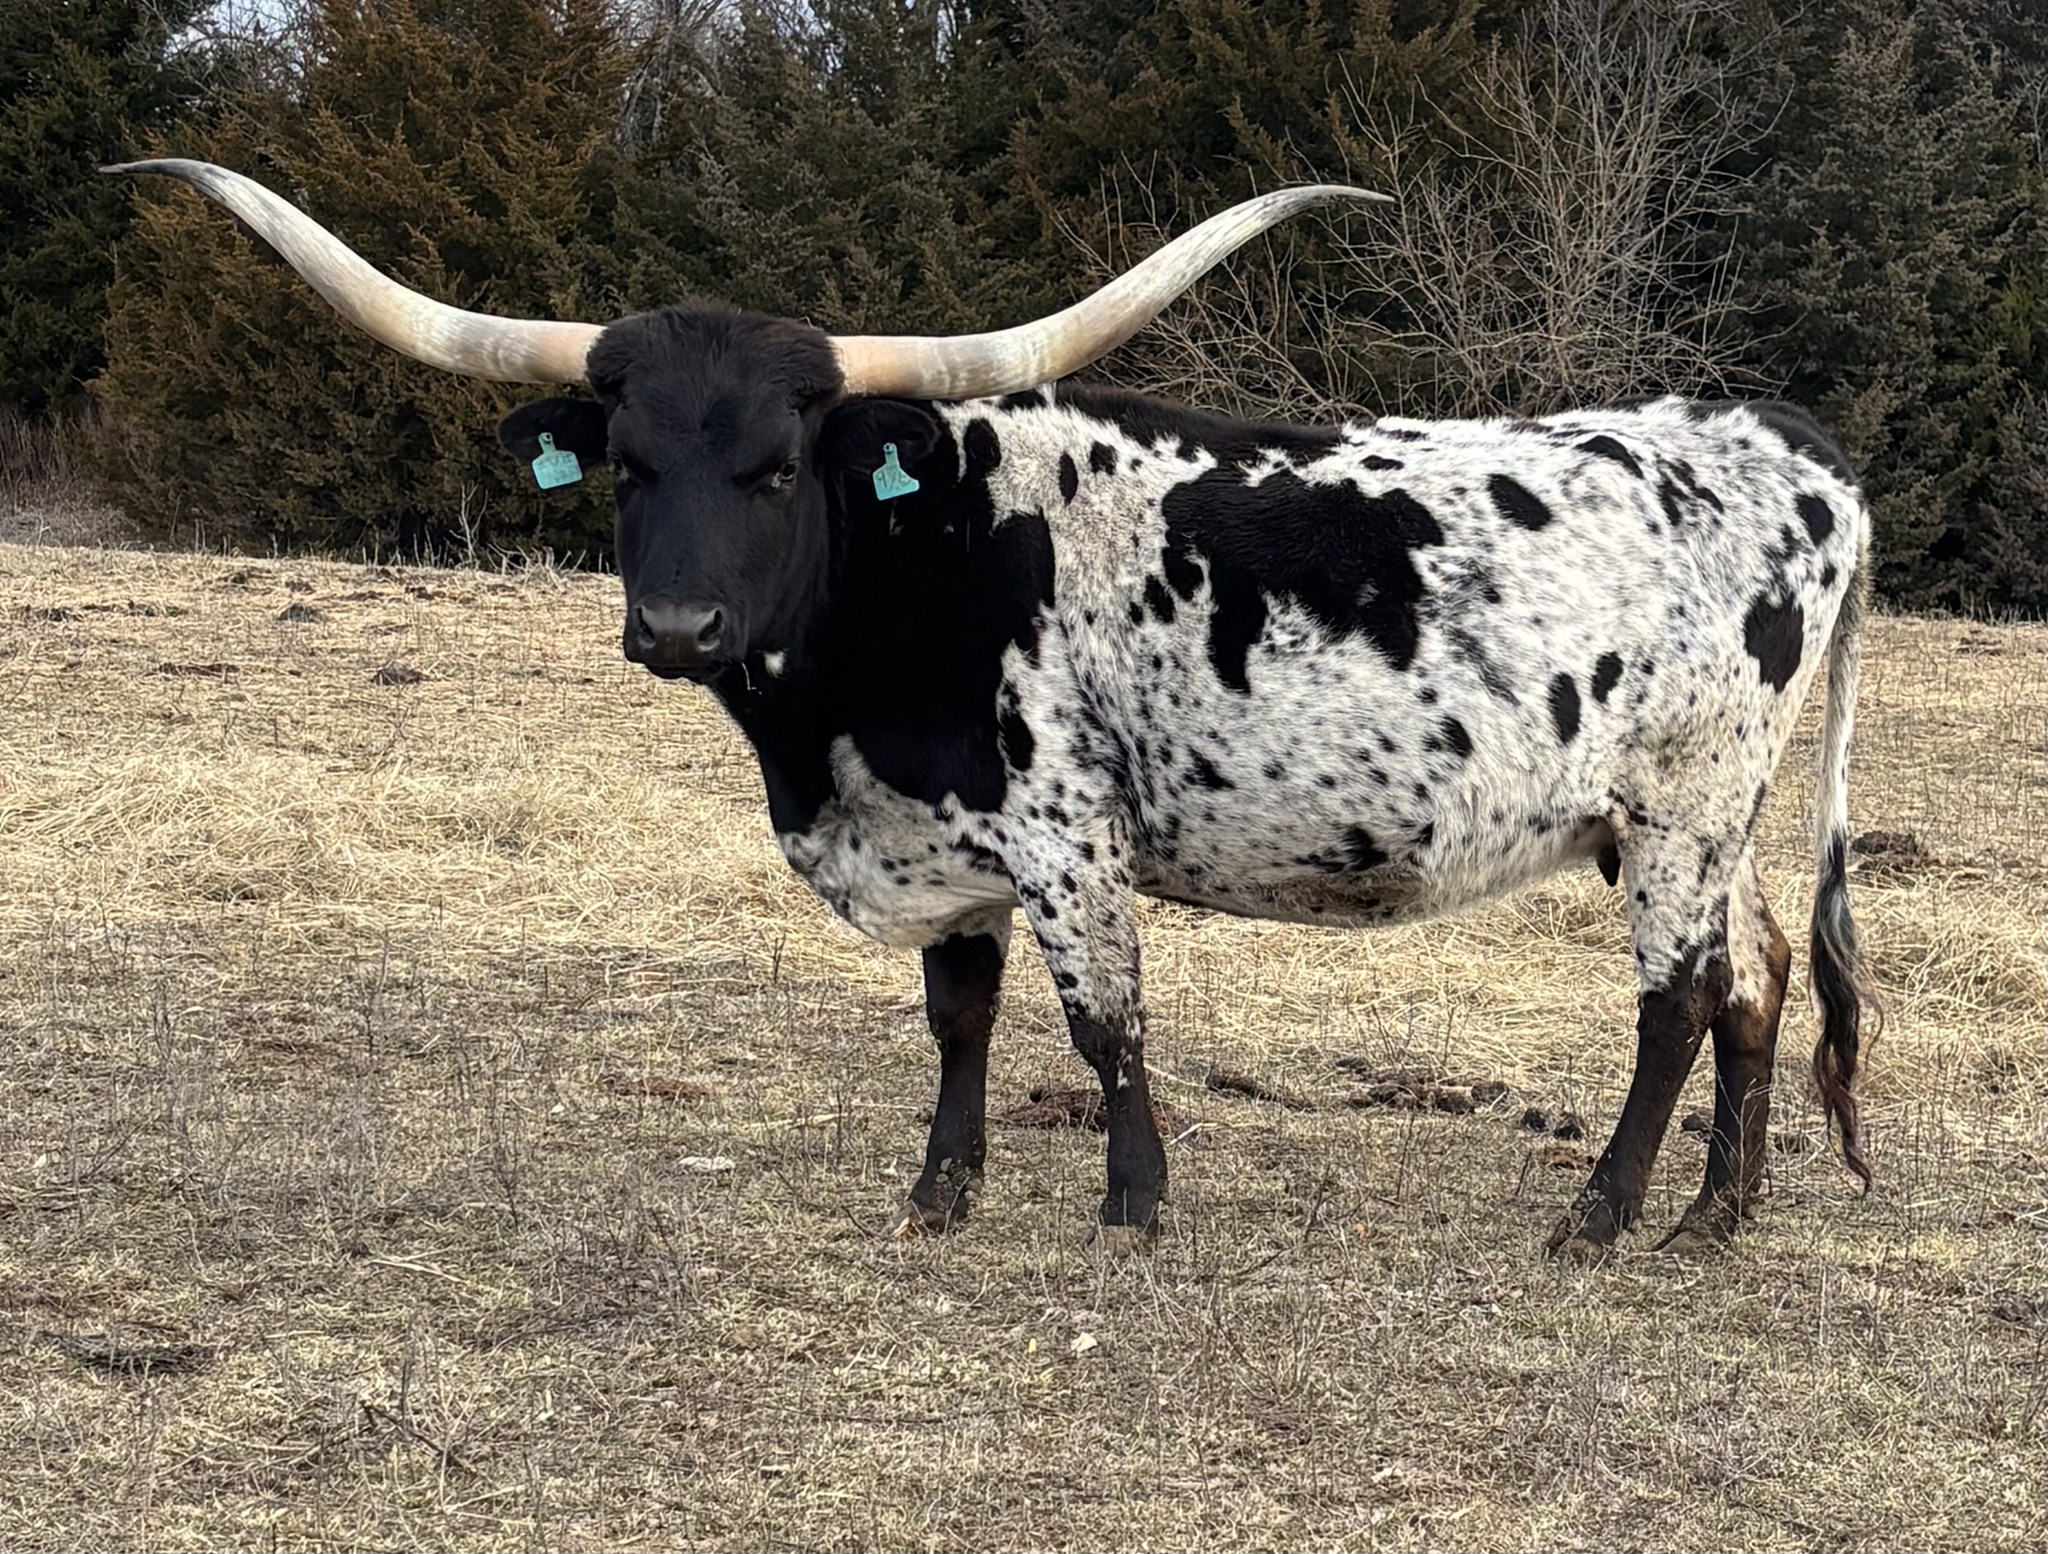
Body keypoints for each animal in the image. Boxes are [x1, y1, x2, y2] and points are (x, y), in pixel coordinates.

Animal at [108, 159, 1878, 1261]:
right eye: (626, 465)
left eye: (778, 464)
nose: (676, 627)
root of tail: (1786, 443)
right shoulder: (935, 833)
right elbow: (959, 1015)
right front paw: (939, 1193)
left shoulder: (1061, 829)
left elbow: (1105, 1019)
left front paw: (1133, 1208)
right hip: (1689, 819)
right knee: (1761, 977)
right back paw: (1717, 1217)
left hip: (1680, 805)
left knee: (1679, 996)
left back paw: (1601, 1215)